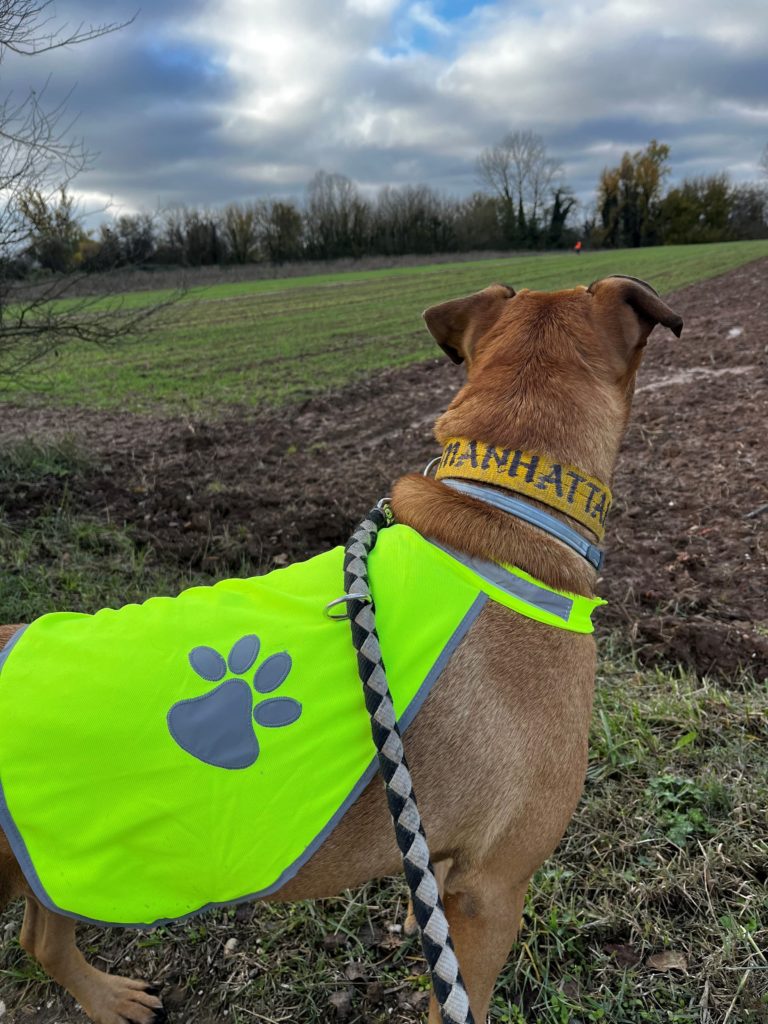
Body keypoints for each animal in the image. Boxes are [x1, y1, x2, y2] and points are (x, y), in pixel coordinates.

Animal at [0, 276, 684, 1019]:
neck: (503, 508)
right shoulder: (495, 888)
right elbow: (463, 994)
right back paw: (108, 1000)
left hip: (55, 865)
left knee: (39, 936)